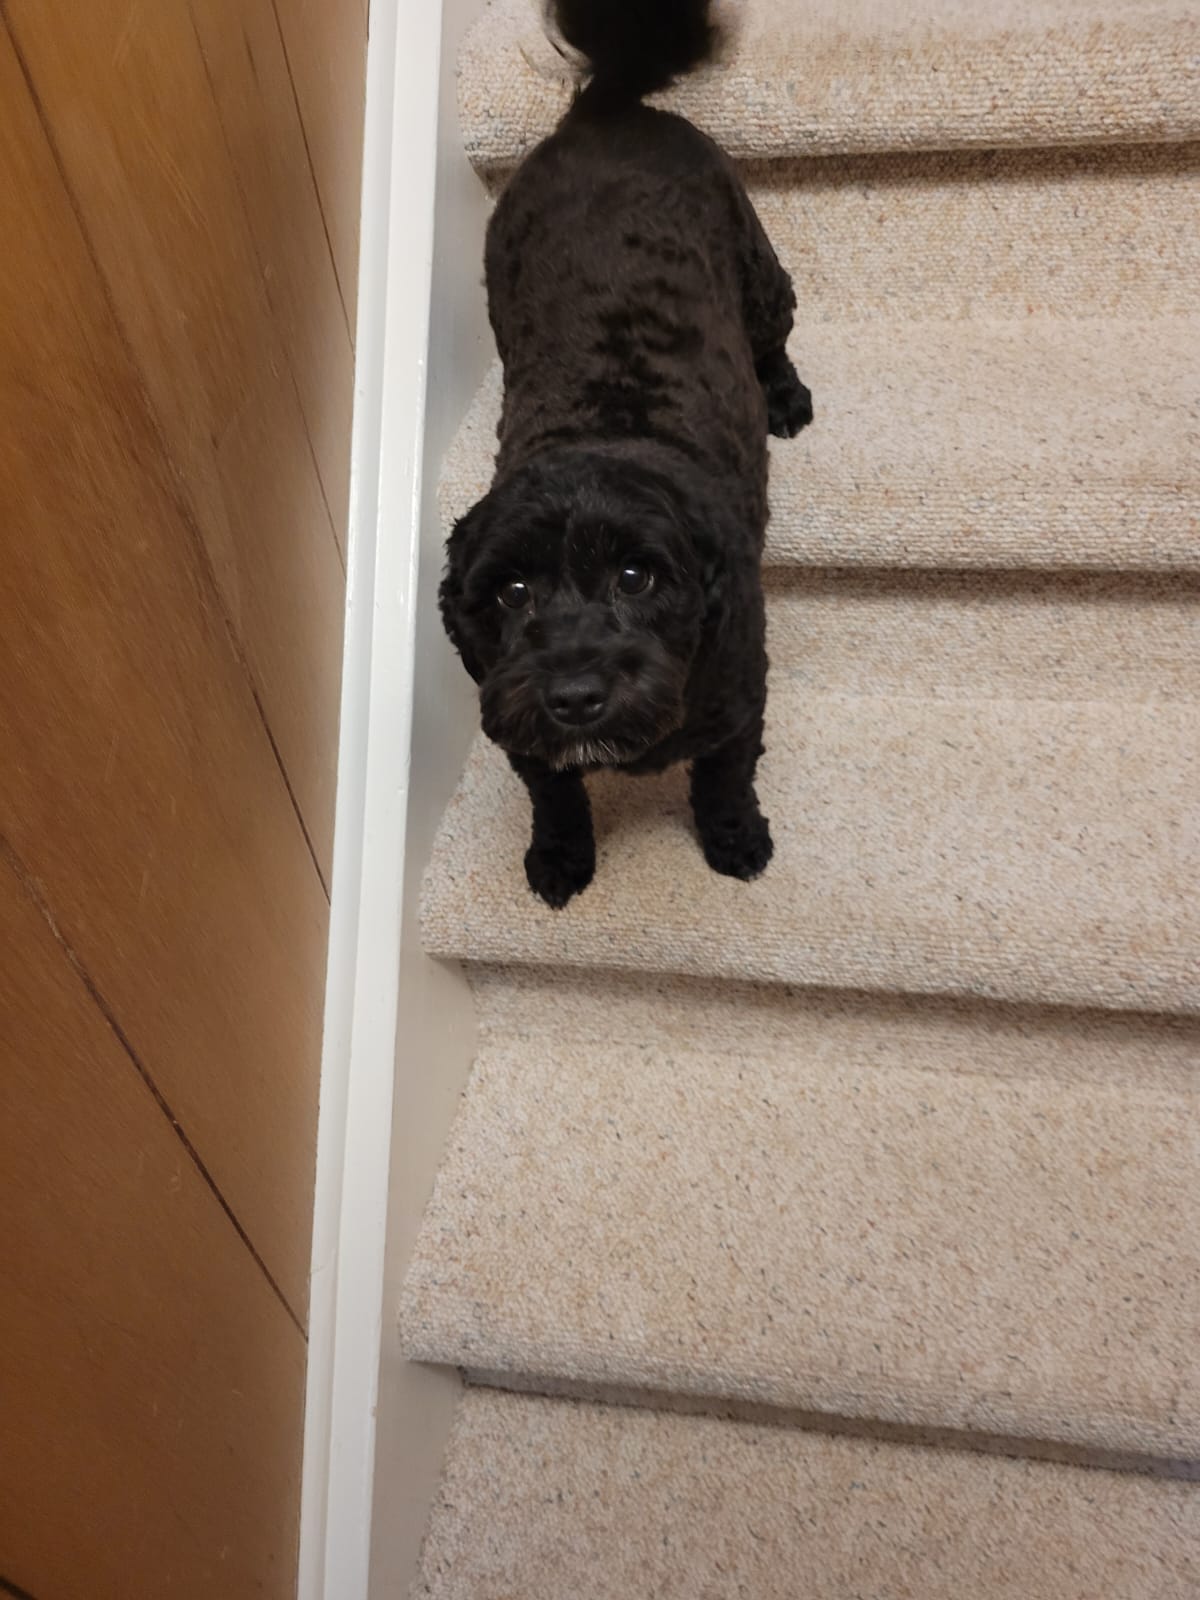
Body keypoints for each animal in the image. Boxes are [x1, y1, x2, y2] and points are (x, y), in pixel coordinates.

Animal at [440, 0, 812, 908]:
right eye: (510, 591)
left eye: (637, 577)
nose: (574, 697)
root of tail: (606, 107)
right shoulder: (517, 722)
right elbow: (554, 794)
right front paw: (559, 857)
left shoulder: (739, 703)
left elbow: (723, 782)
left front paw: (736, 842)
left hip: (755, 265)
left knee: (775, 332)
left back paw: (786, 397)